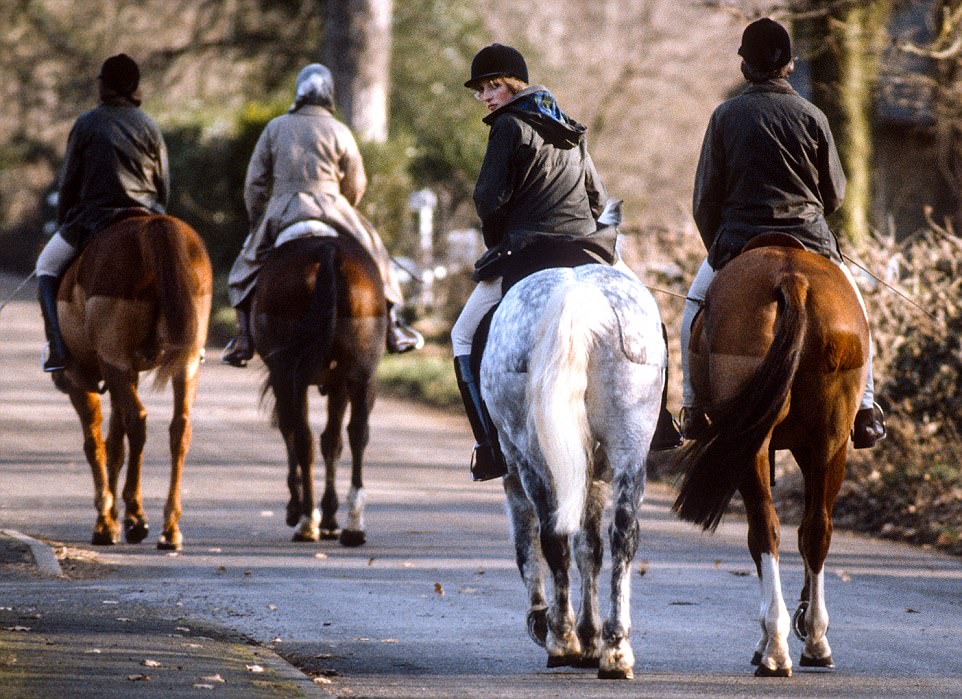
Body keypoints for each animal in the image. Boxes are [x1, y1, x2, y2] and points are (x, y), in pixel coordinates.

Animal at [56, 215, 212, 552]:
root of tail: (153, 224)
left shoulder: (81, 377)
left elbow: (95, 444)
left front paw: (106, 523)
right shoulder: (129, 374)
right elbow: (115, 444)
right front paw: (114, 518)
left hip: (112, 359)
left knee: (136, 421)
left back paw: (137, 518)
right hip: (186, 362)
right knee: (178, 428)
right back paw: (169, 528)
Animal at [251, 234, 386, 548]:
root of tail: (328, 249)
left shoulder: (283, 378)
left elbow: (292, 431)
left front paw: (301, 510)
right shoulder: (338, 383)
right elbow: (333, 442)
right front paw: (330, 516)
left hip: (292, 374)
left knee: (302, 438)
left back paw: (305, 522)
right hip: (360, 373)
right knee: (357, 433)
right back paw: (353, 526)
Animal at [484, 264, 664, 680]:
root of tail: (577, 294)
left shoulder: (514, 473)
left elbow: (528, 544)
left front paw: (548, 623)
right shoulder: (594, 476)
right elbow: (591, 549)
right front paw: (591, 637)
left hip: (531, 456)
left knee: (551, 535)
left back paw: (561, 638)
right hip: (630, 444)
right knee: (621, 534)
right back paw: (615, 650)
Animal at [672, 237, 868, 680]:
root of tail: (792, 279)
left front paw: (765, 639)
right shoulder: (808, 445)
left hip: (756, 445)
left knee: (765, 529)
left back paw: (776, 648)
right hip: (830, 438)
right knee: (816, 530)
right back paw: (813, 641)